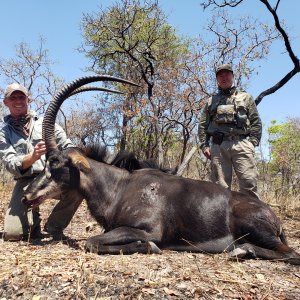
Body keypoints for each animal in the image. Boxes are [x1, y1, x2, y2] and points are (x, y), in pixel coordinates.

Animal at [22, 75, 300, 264]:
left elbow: (92, 242)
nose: (26, 196)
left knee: (290, 253)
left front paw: (151, 247)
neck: (120, 188)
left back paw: (243, 250)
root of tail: (273, 216)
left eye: (55, 162)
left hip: (255, 230)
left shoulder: (147, 229)